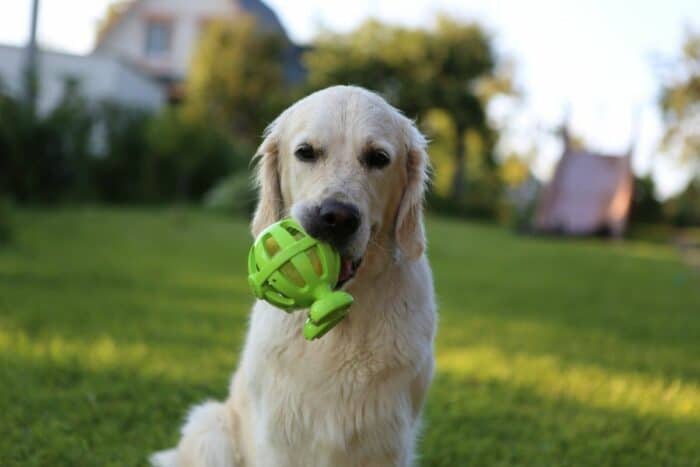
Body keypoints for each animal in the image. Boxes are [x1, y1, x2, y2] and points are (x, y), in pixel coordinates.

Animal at [152, 86, 434, 467]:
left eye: (378, 158)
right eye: (306, 152)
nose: (337, 217)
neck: (339, 328)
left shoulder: (387, 442)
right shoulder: (280, 438)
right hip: (210, 427)